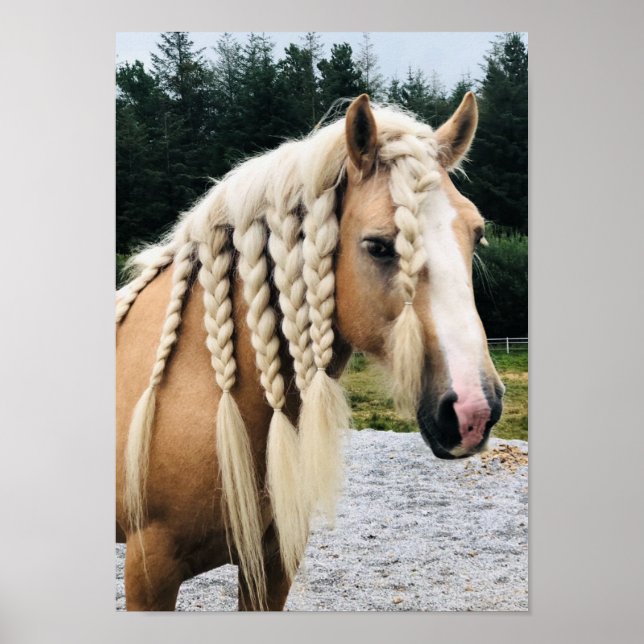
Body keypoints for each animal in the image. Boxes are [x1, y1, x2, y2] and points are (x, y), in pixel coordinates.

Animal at [115, 92, 504, 611]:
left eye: (476, 233)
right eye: (378, 246)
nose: (474, 410)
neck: (200, 385)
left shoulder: (274, 564)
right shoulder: (149, 571)